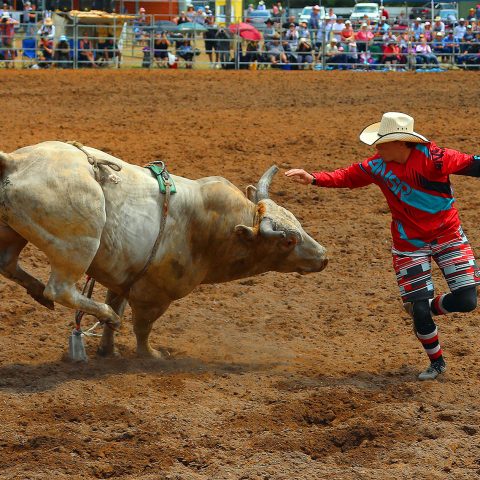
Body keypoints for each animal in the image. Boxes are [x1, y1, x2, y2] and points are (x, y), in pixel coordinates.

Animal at [0, 141, 326, 358]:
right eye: (287, 241)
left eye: (297, 222)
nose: (323, 256)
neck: (214, 229)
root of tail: (14, 161)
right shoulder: (154, 296)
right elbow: (142, 327)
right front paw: (151, 355)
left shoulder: (123, 278)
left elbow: (117, 300)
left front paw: (108, 350)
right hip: (77, 247)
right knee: (60, 289)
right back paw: (96, 310)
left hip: (12, 231)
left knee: (8, 263)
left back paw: (39, 290)